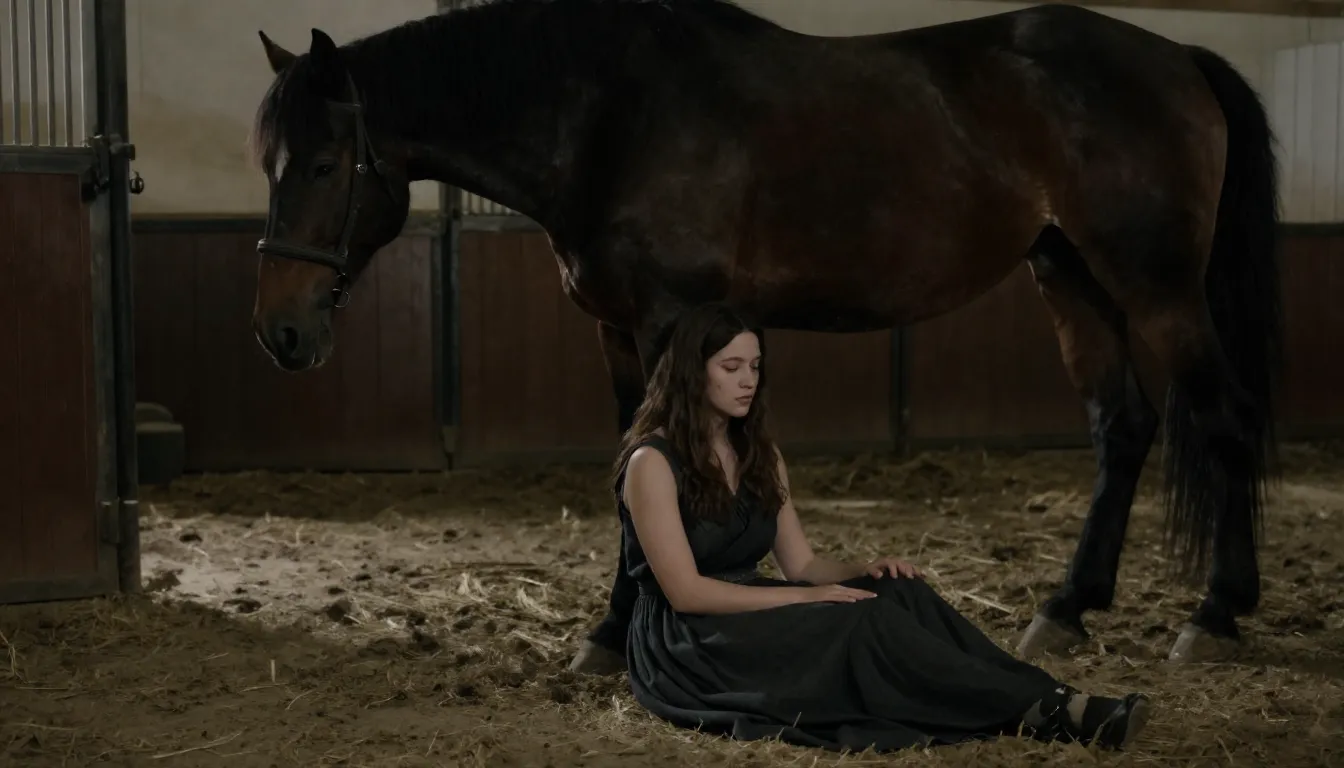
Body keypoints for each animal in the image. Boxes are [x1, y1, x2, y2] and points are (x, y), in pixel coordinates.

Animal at [246, 0, 1283, 676]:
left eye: (327, 163)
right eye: (269, 163)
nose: (281, 332)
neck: (609, 114)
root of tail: (1179, 58)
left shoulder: (668, 318)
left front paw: (617, 636)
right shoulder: (620, 335)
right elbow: (633, 472)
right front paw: (610, 633)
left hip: (1156, 289)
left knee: (1224, 420)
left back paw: (1215, 616)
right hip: (1071, 278)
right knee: (1123, 428)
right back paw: (1067, 609)